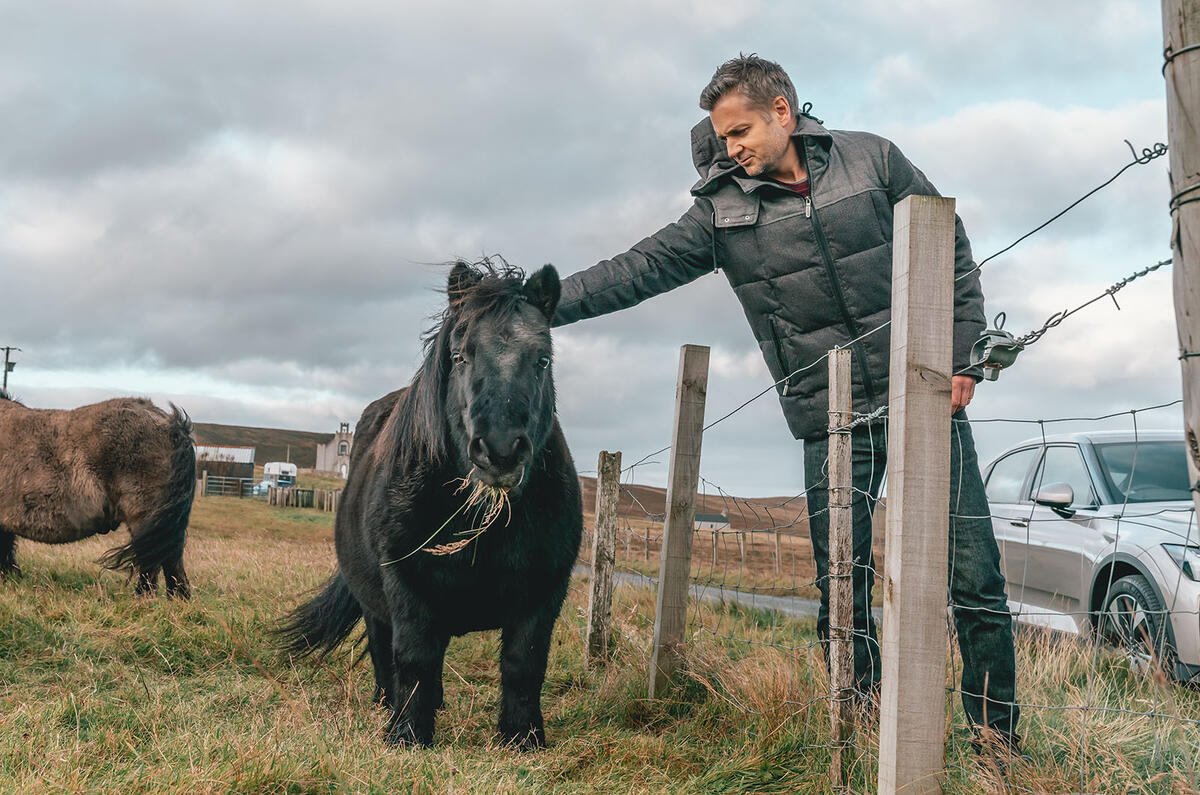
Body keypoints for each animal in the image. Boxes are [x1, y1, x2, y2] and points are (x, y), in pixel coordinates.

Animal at [278, 260, 583, 750]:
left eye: (543, 360)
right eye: (460, 356)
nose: (499, 450)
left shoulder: (545, 589)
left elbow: (525, 664)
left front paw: (523, 738)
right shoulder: (406, 583)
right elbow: (414, 657)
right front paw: (407, 735)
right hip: (374, 600)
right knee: (385, 648)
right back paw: (389, 704)